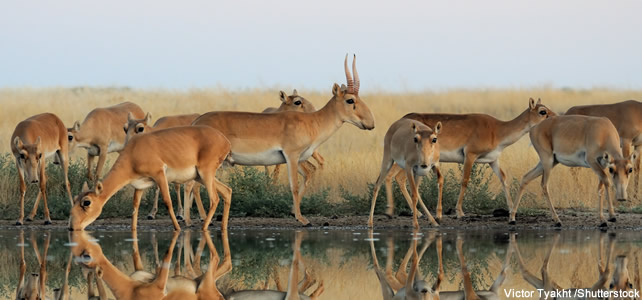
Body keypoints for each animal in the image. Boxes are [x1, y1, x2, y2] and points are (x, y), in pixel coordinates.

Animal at [67, 125, 231, 231]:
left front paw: (178, 228)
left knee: (215, 198)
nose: (71, 227)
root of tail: (225, 141)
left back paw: (204, 228)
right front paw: (133, 230)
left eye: (86, 202)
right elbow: (135, 206)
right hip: (200, 177)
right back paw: (223, 227)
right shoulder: (139, 185)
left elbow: (167, 201)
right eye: (74, 198)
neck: (133, 153)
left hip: (206, 173)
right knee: (227, 191)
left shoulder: (159, 175)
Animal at [195, 55, 376, 226]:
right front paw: (302, 219)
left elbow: (306, 177)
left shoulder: (297, 159)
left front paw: (293, 212)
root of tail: (196, 121)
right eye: (350, 100)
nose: (371, 123)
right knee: (195, 187)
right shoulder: (292, 156)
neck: (313, 122)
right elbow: (294, 186)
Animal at [396, 98, 552, 220]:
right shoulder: (470, 156)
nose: (555, 117)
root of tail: (401, 120)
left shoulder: (493, 161)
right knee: (400, 178)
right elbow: (465, 181)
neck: (497, 130)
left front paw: (511, 210)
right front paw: (459, 212)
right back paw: (418, 213)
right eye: (542, 111)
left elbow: (503, 178)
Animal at [504, 116, 636, 226]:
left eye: (630, 169)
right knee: (544, 185)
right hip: (547, 162)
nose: (622, 197)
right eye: (612, 169)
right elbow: (606, 182)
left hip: (550, 162)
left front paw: (606, 218)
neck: (604, 131)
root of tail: (534, 128)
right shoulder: (592, 162)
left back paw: (512, 218)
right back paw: (557, 220)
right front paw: (608, 218)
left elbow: (601, 187)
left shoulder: (601, 166)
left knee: (526, 177)